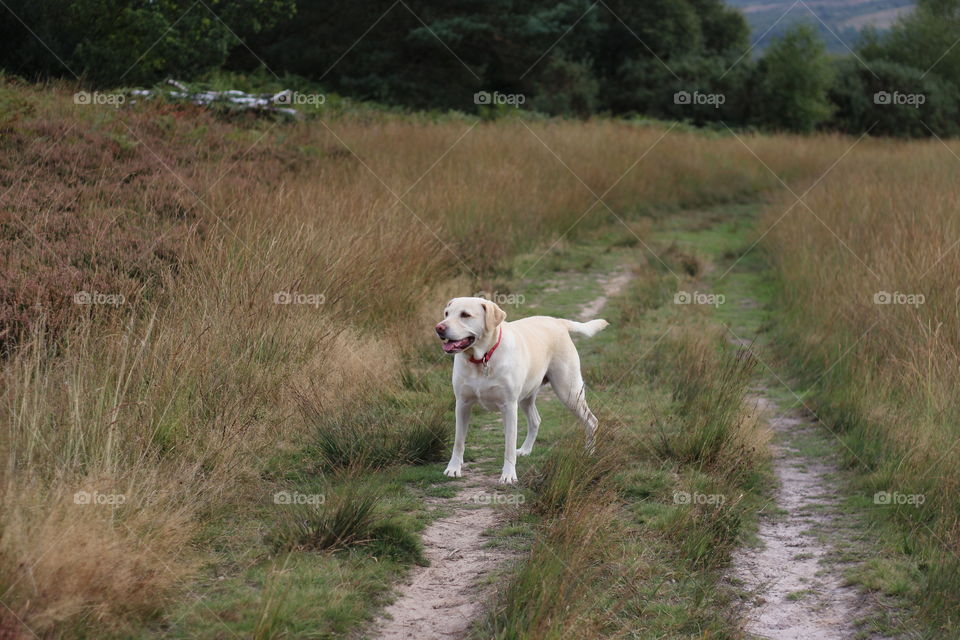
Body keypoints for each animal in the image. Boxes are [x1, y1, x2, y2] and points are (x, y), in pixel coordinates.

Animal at [436, 298, 608, 482]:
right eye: (446, 314)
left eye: (465, 315)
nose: (439, 328)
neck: (482, 359)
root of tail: (558, 321)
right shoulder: (462, 404)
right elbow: (458, 442)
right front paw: (453, 468)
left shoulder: (509, 406)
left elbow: (509, 445)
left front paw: (508, 475)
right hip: (527, 397)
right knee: (535, 420)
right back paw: (526, 450)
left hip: (569, 392)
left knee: (591, 421)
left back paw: (589, 453)